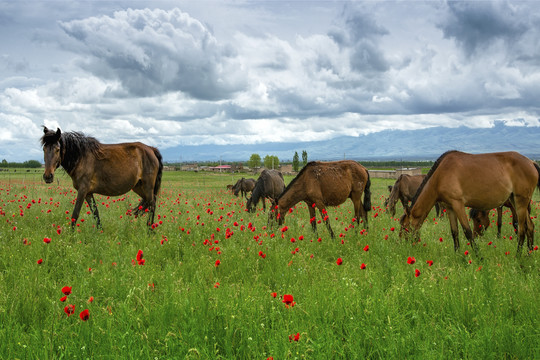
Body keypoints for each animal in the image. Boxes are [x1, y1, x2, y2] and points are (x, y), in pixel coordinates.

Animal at [398, 150, 536, 255]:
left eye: (404, 227)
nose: (402, 243)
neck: (440, 176)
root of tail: (531, 162)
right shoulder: (450, 208)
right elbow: (454, 232)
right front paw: (458, 256)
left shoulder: (458, 204)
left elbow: (467, 231)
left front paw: (478, 257)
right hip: (516, 201)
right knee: (530, 227)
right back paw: (529, 254)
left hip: (521, 202)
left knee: (521, 229)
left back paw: (518, 256)